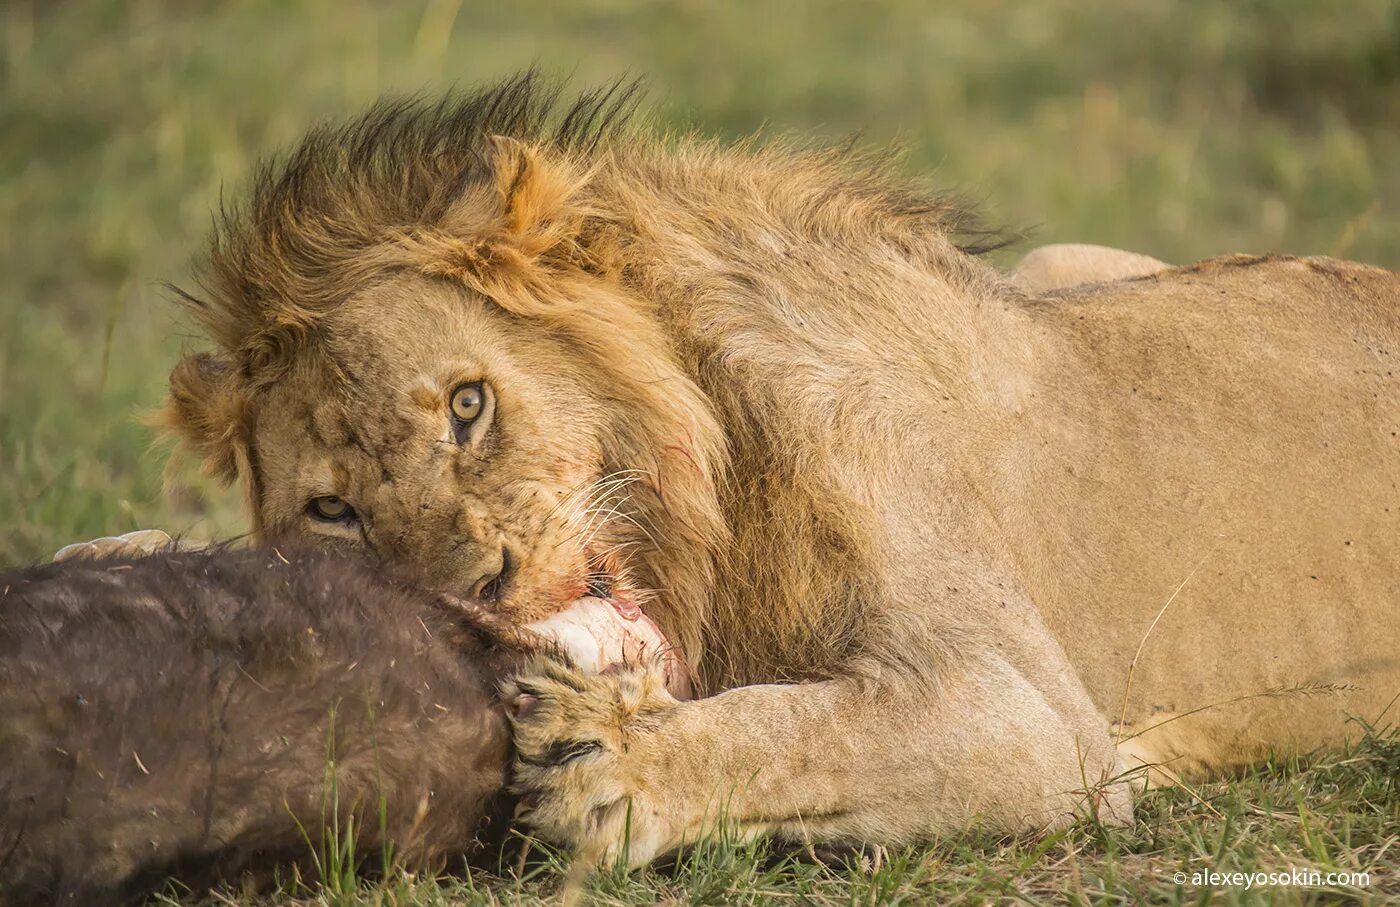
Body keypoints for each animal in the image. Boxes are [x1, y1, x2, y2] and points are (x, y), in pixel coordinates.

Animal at [60, 76, 1400, 862]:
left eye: (467, 405)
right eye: (331, 508)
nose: (480, 589)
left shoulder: (1032, 716)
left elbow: (802, 726)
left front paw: (613, 761)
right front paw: (132, 551)